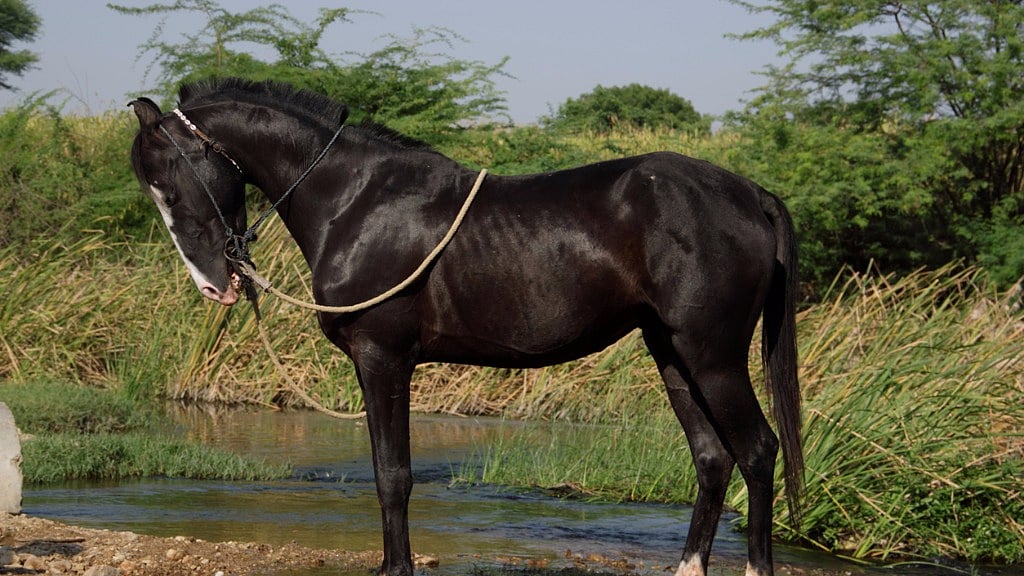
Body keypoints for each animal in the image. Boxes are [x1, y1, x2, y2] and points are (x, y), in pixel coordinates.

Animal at [128, 77, 802, 576]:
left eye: (170, 183)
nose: (214, 284)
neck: (355, 201)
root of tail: (750, 194)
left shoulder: (383, 359)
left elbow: (393, 476)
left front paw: (395, 568)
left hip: (713, 357)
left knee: (757, 452)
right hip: (672, 354)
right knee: (712, 458)